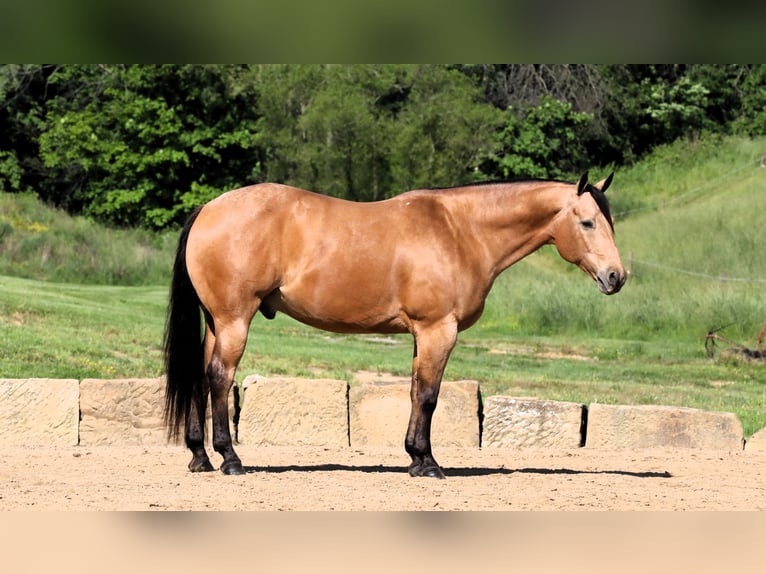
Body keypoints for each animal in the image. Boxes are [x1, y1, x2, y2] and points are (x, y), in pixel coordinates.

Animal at [165, 173, 628, 480]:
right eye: (587, 222)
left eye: (609, 223)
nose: (616, 277)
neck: (460, 232)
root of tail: (208, 208)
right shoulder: (438, 330)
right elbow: (428, 396)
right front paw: (429, 463)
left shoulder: (421, 335)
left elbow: (414, 391)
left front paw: (414, 457)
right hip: (234, 321)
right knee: (220, 377)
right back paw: (229, 459)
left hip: (217, 323)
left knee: (200, 378)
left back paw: (199, 457)